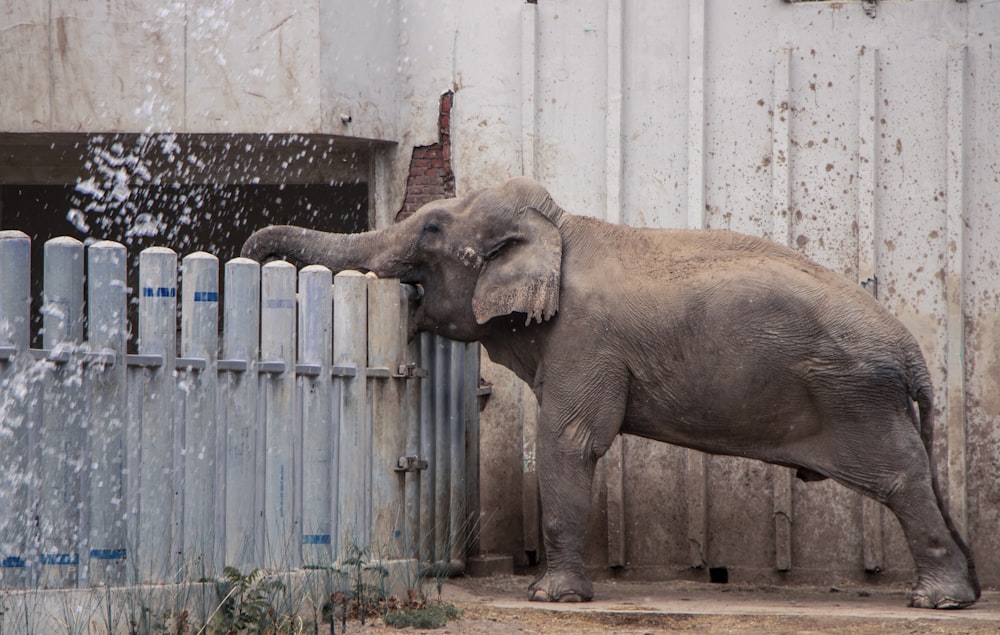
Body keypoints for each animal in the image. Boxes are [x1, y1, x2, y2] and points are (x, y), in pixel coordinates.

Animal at [240, 176, 976, 608]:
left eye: (431, 229)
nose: (251, 243)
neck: (558, 228)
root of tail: (914, 353)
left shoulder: (584, 340)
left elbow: (568, 442)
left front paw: (550, 598)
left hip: (859, 397)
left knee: (900, 478)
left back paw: (937, 602)